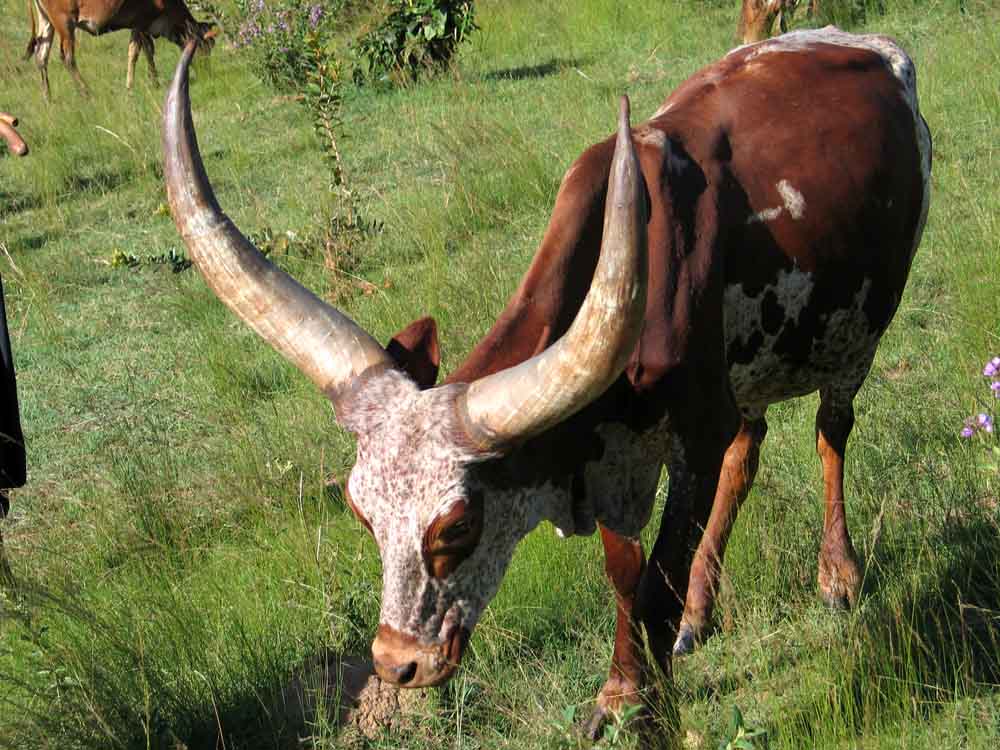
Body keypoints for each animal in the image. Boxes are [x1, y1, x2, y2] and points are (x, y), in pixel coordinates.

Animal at [160, 26, 932, 736]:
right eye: (360, 512)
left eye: (458, 525)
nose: (398, 663)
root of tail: (866, 40)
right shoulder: (619, 456)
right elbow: (626, 576)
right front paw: (623, 692)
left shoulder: (693, 436)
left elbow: (656, 589)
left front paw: (655, 715)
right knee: (751, 449)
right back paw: (705, 610)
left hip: (855, 338)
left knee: (832, 431)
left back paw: (838, 574)